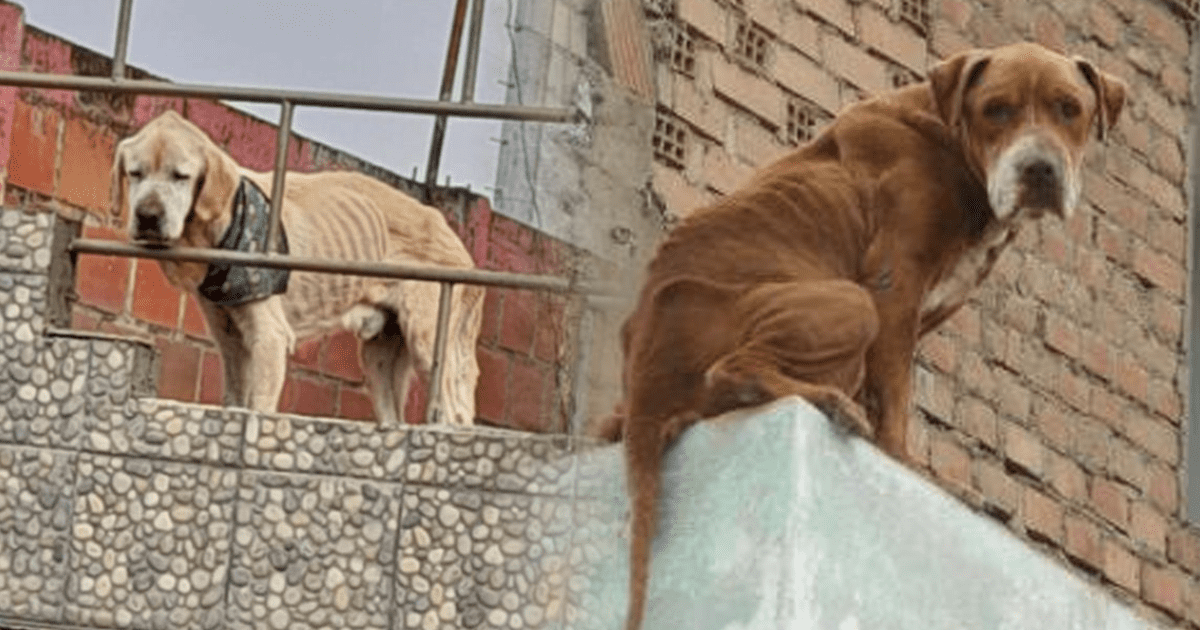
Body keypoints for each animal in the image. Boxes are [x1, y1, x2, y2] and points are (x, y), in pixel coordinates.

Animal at [614, 44, 1128, 628]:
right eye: (996, 109)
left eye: (1069, 108)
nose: (1038, 168)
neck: (953, 141)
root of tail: (644, 365)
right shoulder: (893, 285)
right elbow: (897, 397)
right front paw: (902, 462)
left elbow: (887, 385)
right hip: (848, 302)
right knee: (730, 371)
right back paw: (828, 402)